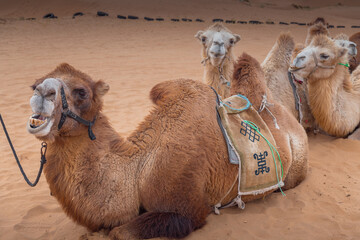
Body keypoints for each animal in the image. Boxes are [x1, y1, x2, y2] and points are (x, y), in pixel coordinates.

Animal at [27, 62, 306, 239]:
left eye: (82, 92)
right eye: (34, 85)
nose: (42, 92)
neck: (137, 171)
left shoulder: (187, 208)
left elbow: (120, 233)